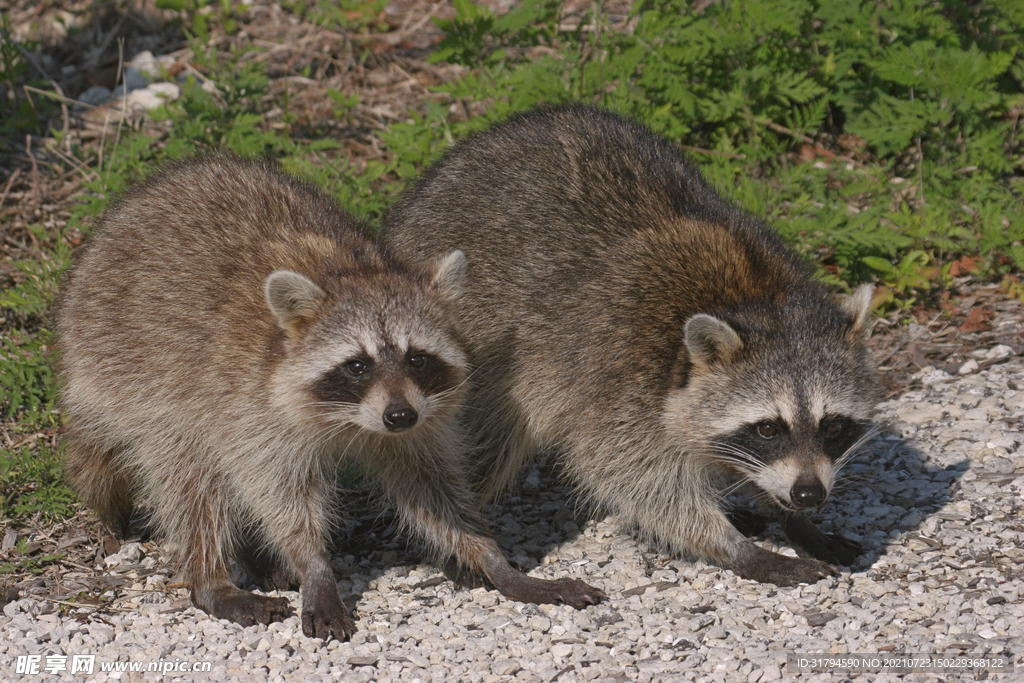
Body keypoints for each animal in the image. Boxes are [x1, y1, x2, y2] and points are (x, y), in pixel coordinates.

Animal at [51, 154, 602, 643]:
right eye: (357, 365)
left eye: (417, 358)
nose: (399, 416)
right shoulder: (248, 403)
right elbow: (275, 488)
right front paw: (313, 562)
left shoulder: (421, 414)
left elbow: (432, 487)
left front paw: (490, 557)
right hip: (131, 370)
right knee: (190, 474)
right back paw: (211, 577)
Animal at [385, 107, 880, 589]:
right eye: (768, 429)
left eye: (833, 426)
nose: (808, 493)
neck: (756, 296)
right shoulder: (623, 366)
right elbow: (628, 472)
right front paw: (735, 546)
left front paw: (790, 518)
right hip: (471, 349)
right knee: (477, 443)